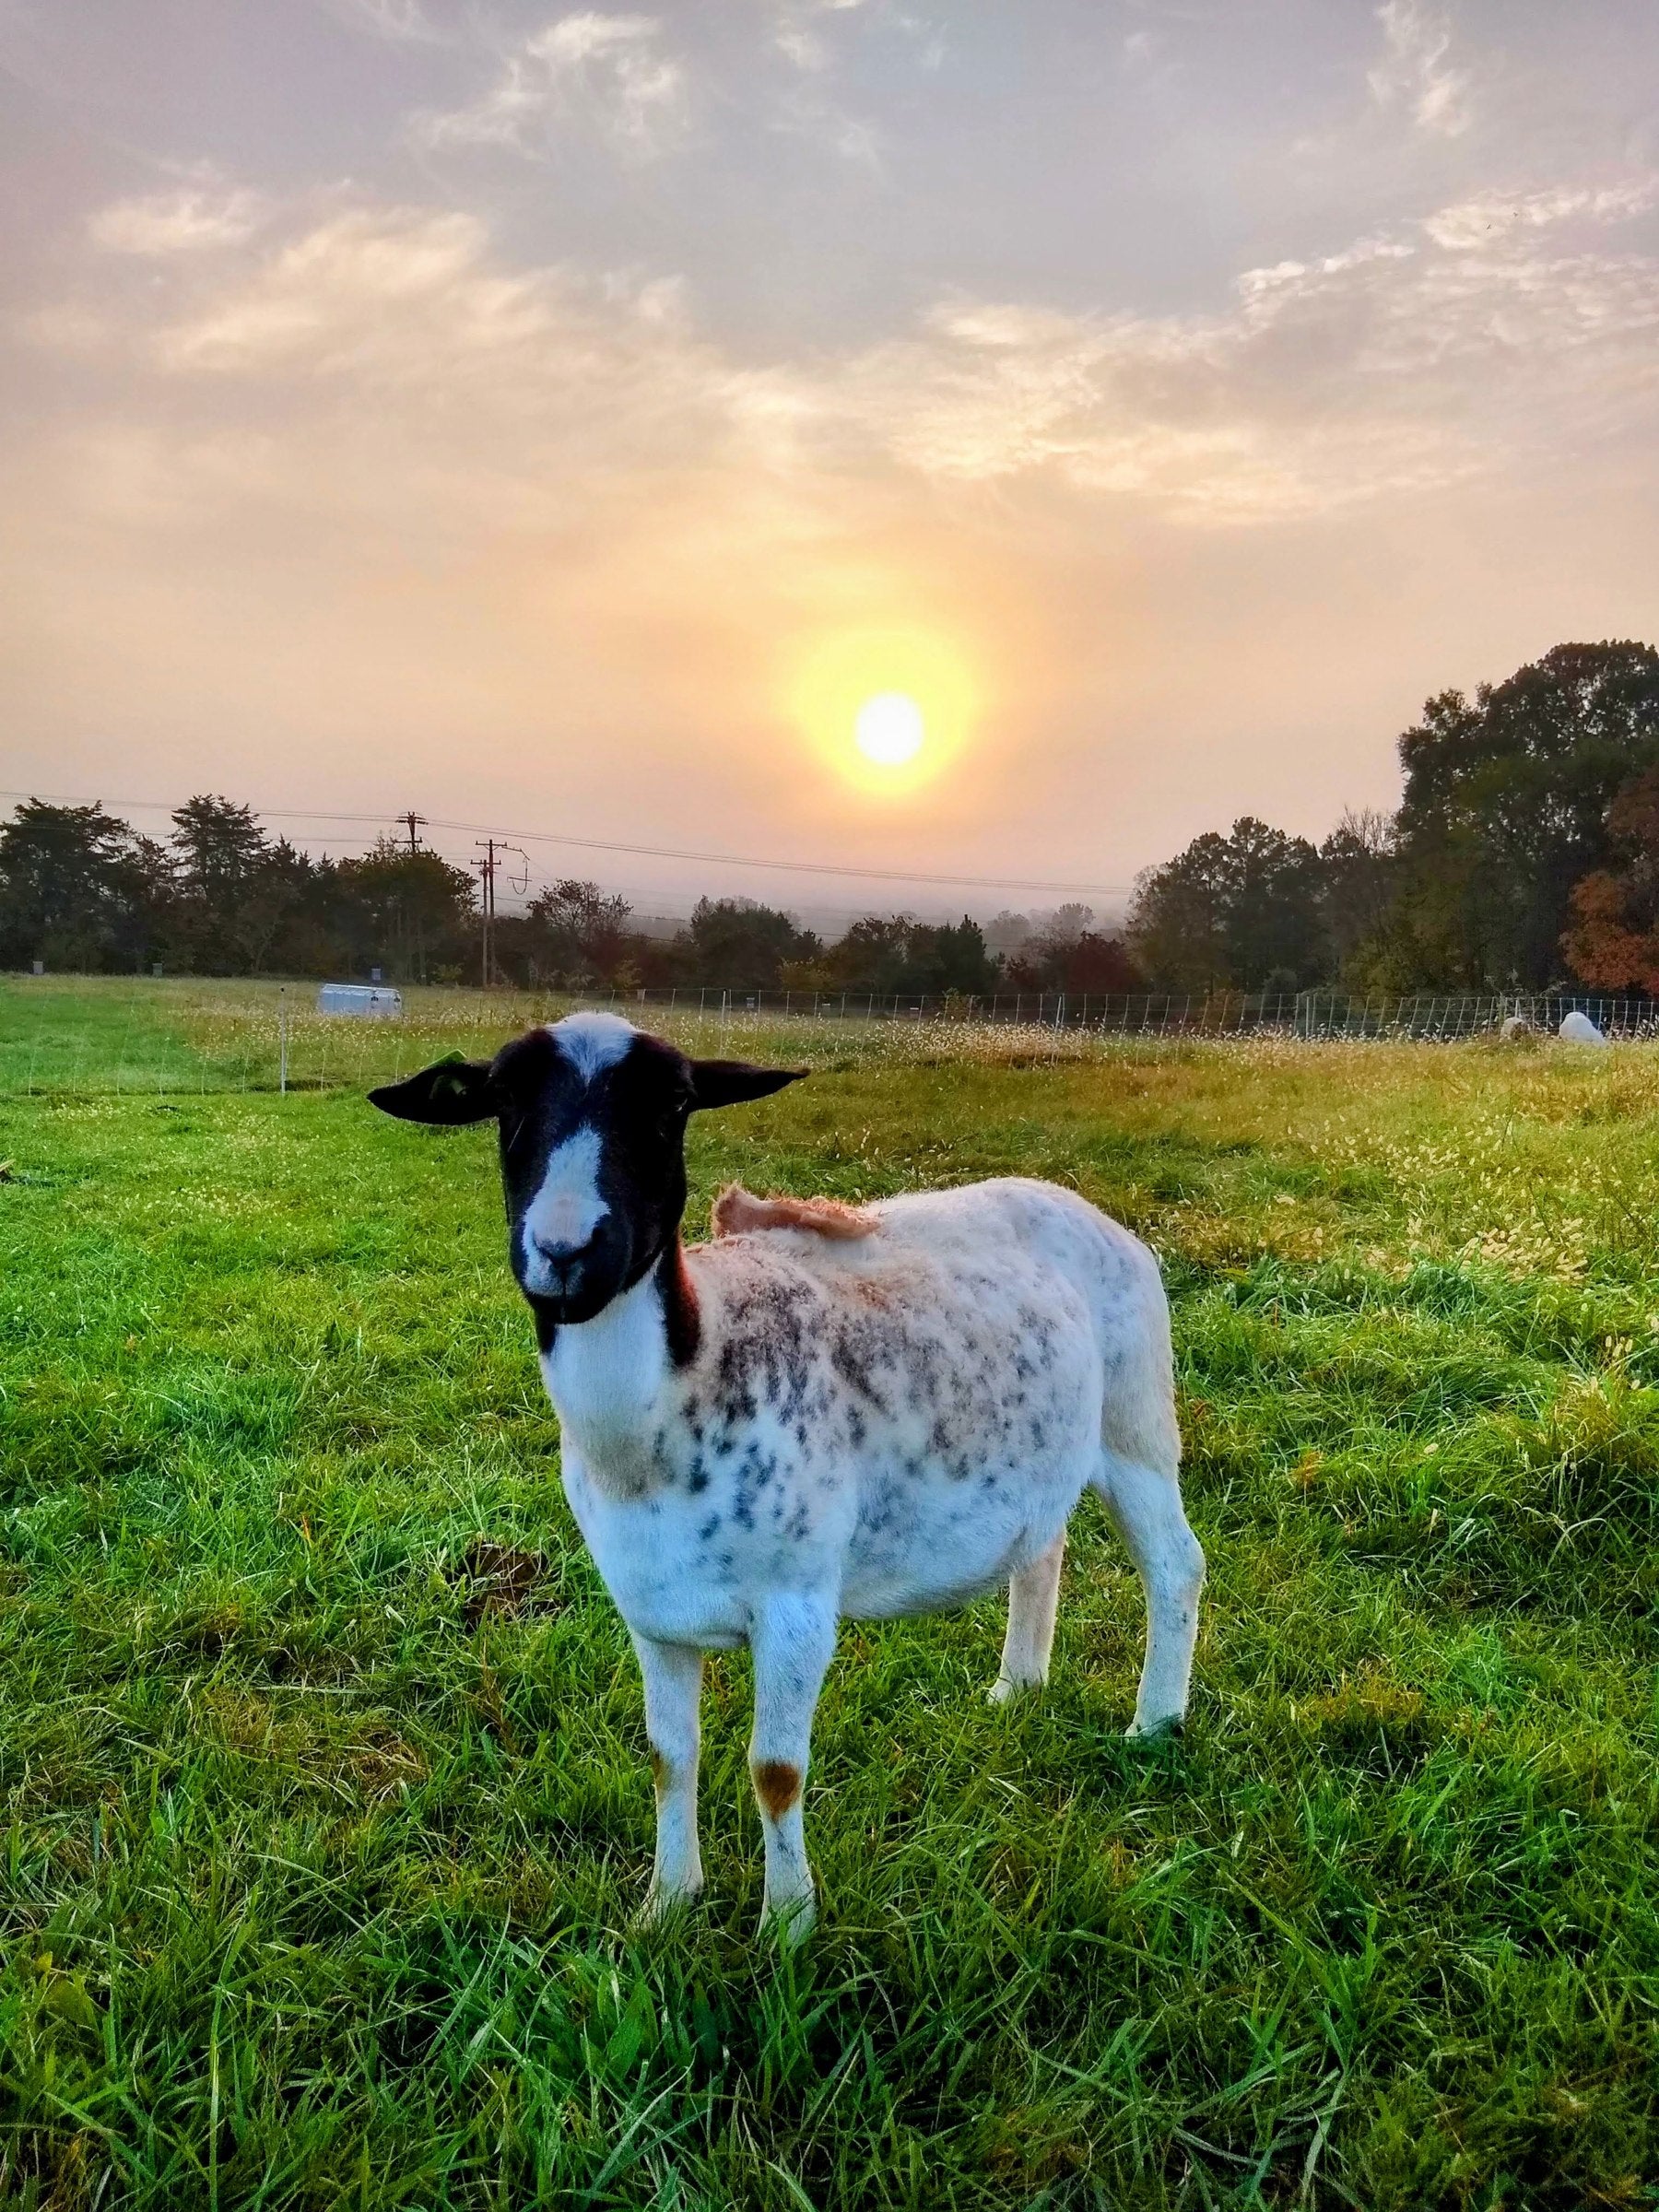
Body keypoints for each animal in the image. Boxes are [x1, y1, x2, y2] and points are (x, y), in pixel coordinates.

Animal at [370, 1011, 1204, 1937]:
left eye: (673, 1106)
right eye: (504, 1103)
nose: (565, 1250)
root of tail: (1092, 1210)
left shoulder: (798, 1603)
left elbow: (775, 1771)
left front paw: (788, 1927)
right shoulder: (651, 1610)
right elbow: (668, 1758)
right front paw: (666, 1905)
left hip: (1136, 1419)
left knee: (1176, 1566)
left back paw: (1155, 1724)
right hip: (1036, 1451)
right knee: (1043, 1549)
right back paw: (1017, 1688)